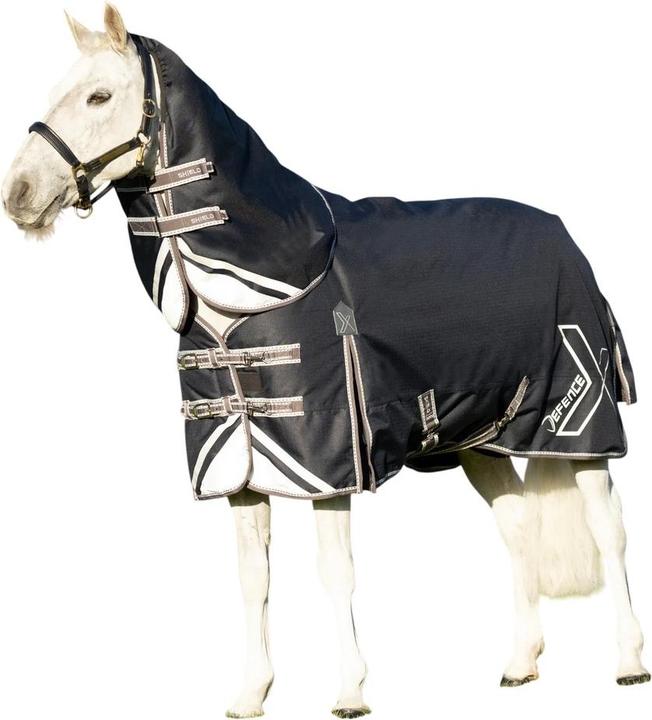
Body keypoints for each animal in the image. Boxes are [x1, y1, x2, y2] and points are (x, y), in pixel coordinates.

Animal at [2, 5, 648, 718]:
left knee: (609, 529)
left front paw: (349, 692)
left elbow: (335, 571)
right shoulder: (242, 466)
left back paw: (627, 664)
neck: (269, 280)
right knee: (518, 527)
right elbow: (253, 579)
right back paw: (520, 664)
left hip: (581, 426)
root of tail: (564, 235)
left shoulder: (331, 458)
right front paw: (250, 694)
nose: (19, 193)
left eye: (98, 97)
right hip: (483, 437)